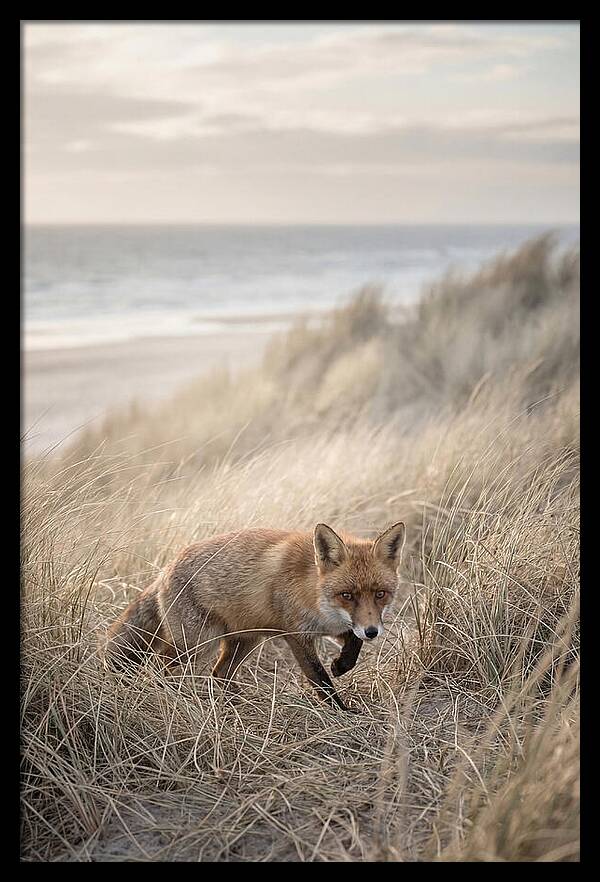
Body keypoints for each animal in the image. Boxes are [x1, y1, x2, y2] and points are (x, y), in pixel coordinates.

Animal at [104, 521, 406, 713]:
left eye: (380, 594)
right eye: (347, 595)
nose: (373, 631)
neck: (314, 592)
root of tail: (164, 570)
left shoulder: (337, 626)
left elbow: (353, 644)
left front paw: (342, 665)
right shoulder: (296, 635)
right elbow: (319, 679)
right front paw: (342, 712)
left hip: (245, 640)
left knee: (219, 673)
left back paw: (235, 704)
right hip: (197, 644)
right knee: (160, 667)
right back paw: (173, 698)